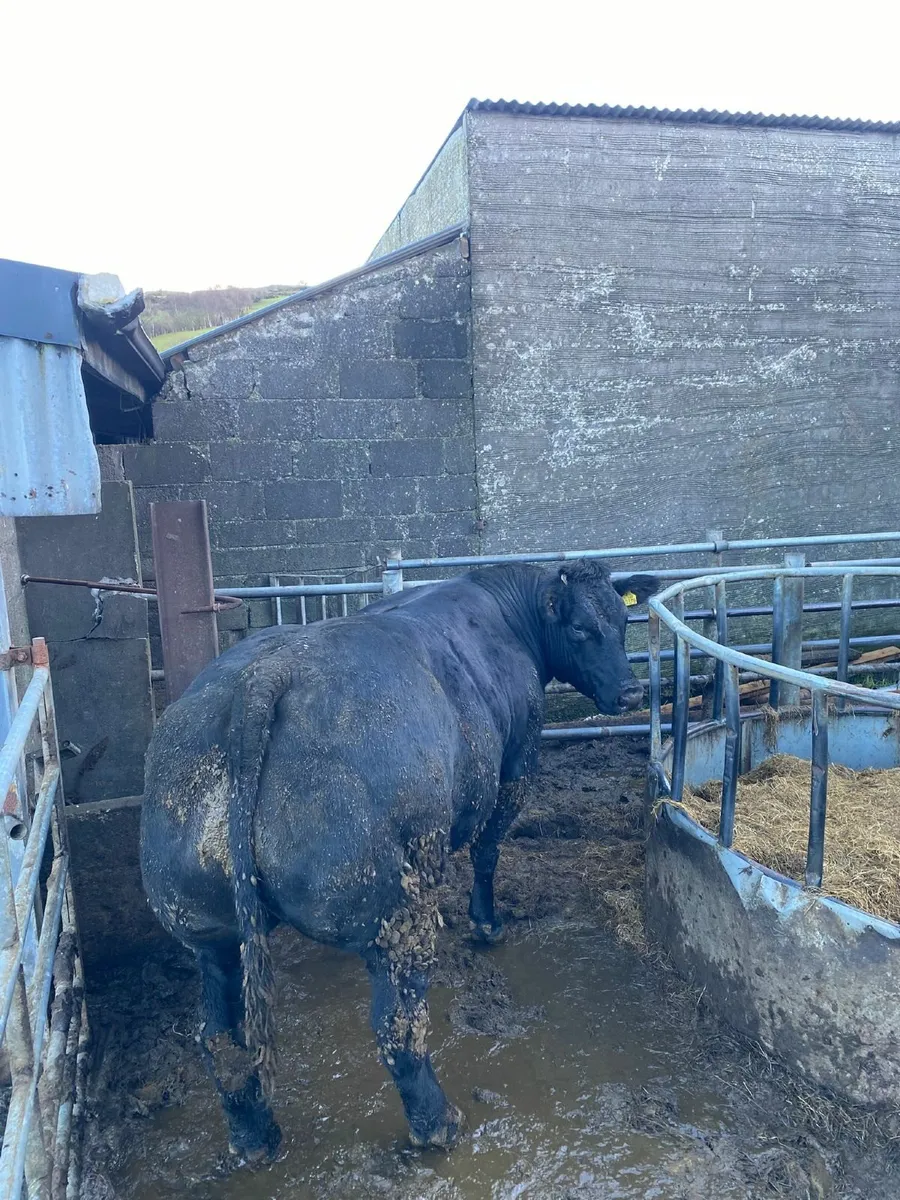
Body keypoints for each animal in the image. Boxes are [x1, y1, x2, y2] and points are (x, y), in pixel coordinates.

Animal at [139, 559, 660, 1162]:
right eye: (580, 629)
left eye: (624, 620)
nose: (631, 691)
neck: (505, 613)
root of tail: (262, 678)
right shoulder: (517, 763)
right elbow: (487, 851)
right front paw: (487, 923)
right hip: (395, 915)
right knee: (399, 1028)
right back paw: (438, 1123)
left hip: (206, 929)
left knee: (218, 1039)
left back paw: (254, 1137)